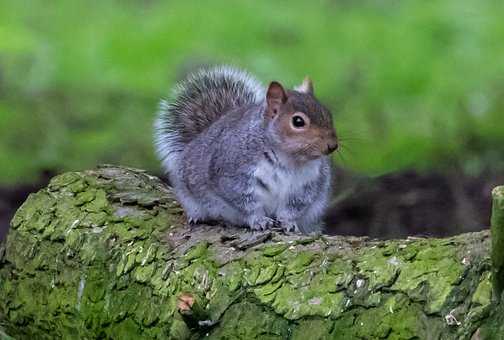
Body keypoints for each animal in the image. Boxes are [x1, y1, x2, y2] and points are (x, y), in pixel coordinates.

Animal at [154, 65, 338, 234]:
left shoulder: (307, 184)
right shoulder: (233, 175)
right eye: (298, 121)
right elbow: (246, 204)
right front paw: (259, 220)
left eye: (328, 114)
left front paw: (288, 222)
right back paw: (197, 216)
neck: (288, 158)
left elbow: (294, 207)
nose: (332, 146)